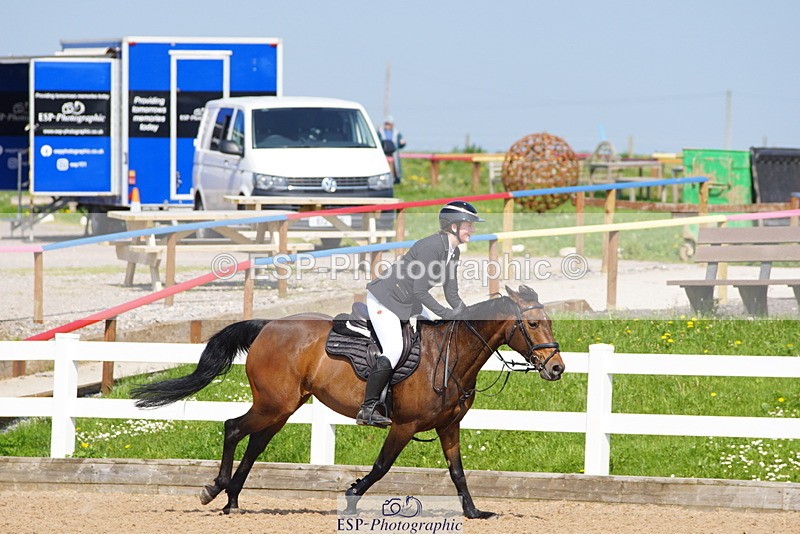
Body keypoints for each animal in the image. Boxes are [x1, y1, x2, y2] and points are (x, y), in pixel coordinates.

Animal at [132, 285, 564, 519]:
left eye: (549, 322)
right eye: (532, 323)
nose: (557, 368)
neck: (450, 355)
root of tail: (268, 326)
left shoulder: (448, 426)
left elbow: (458, 473)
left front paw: (473, 512)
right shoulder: (404, 426)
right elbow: (381, 467)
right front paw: (352, 496)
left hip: (282, 408)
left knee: (254, 444)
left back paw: (233, 500)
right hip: (273, 405)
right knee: (233, 428)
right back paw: (217, 489)